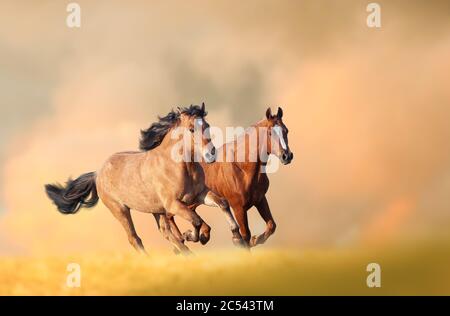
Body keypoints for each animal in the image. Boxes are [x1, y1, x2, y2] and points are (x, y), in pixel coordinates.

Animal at [44, 104, 244, 254]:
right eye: (191, 128)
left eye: (207, 126)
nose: (211, 154)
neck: (177, 166)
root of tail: (97, 174)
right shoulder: (173, 205)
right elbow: (195, 220)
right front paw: (192, 235)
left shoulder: (200, 195)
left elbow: (222, 204)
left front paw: (235, 238)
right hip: (120, 210)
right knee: (135, 238)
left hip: (156, 210)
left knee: (166, 232)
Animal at [167, 107, 294, 248]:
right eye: (270, 133)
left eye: (286, 130)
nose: (287, 156)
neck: (242, 168)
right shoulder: (238, 207)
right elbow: (245, 236)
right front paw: (242, 241)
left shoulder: (260, 200)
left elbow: (271, 225)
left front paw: (255, 239)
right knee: (169, 217)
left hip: (193, 201)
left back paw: (198, 236)